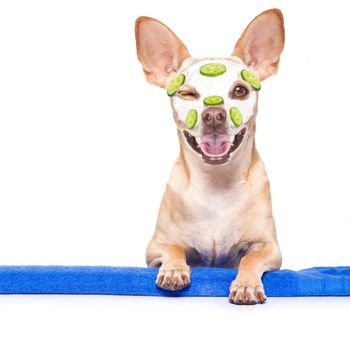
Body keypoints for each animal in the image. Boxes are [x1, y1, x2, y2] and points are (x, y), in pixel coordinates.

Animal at [134, 7, 284, 304]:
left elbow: (250, 258)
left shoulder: (270, 247)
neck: (217, 183)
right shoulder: (155, 247)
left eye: (240, 90)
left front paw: (246, 285)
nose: (214, 114)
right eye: (187, 93)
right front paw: (174, 270)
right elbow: (175, 249)